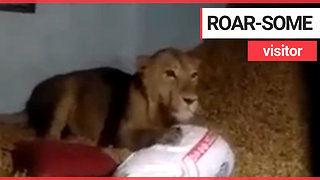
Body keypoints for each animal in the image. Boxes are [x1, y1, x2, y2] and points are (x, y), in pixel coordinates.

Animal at [25, 47, 200, 150]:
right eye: (170, 73)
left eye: (194, 75)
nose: (191, 100)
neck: (161, 112)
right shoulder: (122, 134)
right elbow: (145, 134)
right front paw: (169, 134)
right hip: (66, 90)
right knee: (50, 138)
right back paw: (80, 141)